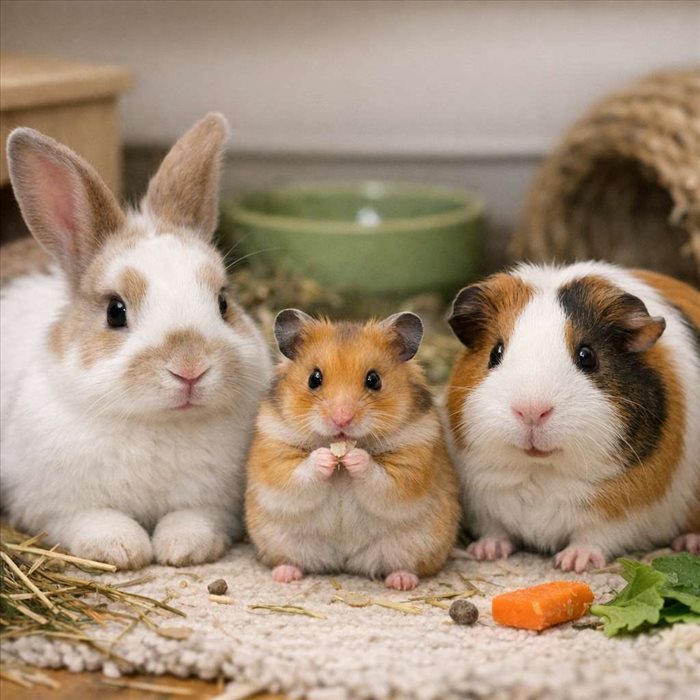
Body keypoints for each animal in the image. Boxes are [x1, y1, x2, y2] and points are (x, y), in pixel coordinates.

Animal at [0, 114, 272, 569]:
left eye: (223, 301)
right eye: (115, 311)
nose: (190, 368)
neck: (159, 424)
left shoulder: (216, 505)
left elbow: (192, 518)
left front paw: (184, 547)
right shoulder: (51, 505)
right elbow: (93, 519)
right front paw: (122, 548)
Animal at [245, 310, 460, 590]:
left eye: (374, 380)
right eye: (314, 378)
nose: (342, 420)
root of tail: (345, 560)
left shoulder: (411, 465)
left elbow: (381, 478)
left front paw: (354, 457)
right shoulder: (275, 456)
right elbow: (297, 475)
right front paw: (327, 457)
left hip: (418, 543)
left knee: (406, 566)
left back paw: (402, 581)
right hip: (278, 539)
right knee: (290, 560)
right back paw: (285, 575)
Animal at [444, 261, 700, 572]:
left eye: (587, 356)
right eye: (496, 352)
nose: (531, 410)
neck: (541, 470)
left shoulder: (623, 514)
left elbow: (594, 537)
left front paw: (573, 563)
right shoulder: (484, 498)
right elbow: (496, 529)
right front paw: (487, 551)